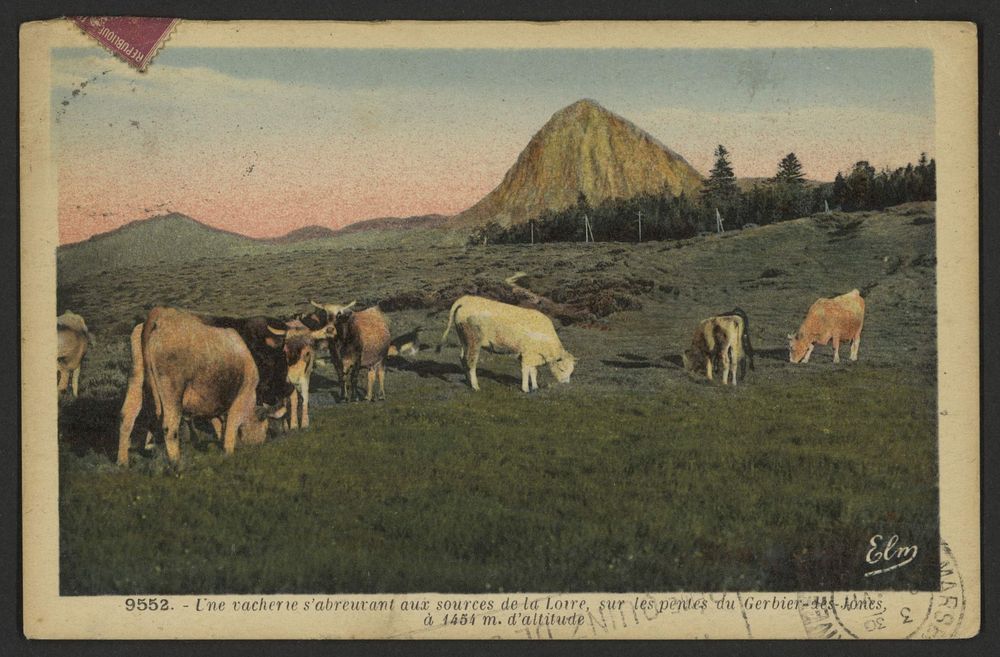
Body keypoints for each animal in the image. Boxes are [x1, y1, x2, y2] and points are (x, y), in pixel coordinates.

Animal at [117, 308, 282, 466]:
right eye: (265, 426)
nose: (260, 444)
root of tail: (161, 316)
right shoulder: (241, 396)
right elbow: (230, 429)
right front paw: (229, 453)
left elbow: (218, 425)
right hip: (172, 391)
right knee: (169, 427)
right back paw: (176, 463)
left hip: (136, 381)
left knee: (126, 417)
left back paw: (122, 461)